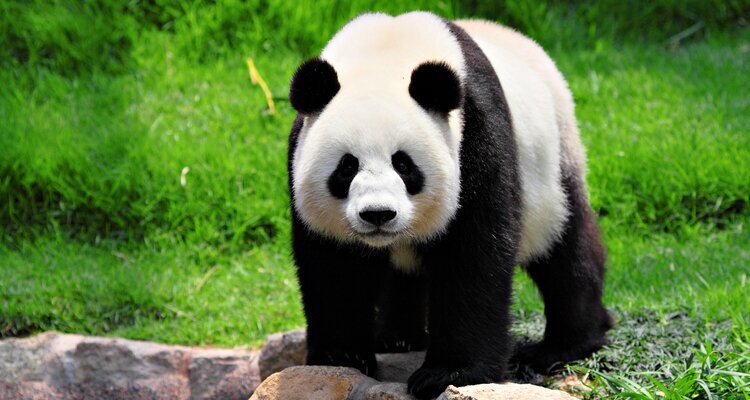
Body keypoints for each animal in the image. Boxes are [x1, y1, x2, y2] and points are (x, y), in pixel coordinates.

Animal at [287, 11, 612, 399]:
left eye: (404, 164)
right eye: (347, 167)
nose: (378, 214)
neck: (386, 55)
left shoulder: (476, 134)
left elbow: (473, 253)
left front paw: (448, 373)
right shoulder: (299, 154)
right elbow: (335, 264)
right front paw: (342, 355)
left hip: (553, 164)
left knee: (565, 247)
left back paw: (564, 345)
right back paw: (397, 337)